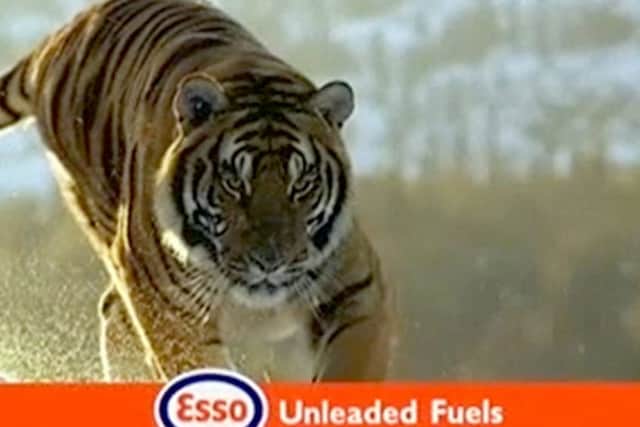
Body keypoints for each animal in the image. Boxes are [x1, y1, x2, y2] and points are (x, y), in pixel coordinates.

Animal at [0, 0, 394, 382]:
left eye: (302, 183)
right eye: (233, 181)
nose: (270, 262)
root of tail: (61, 36)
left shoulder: (355, 291)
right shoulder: (168, 308)